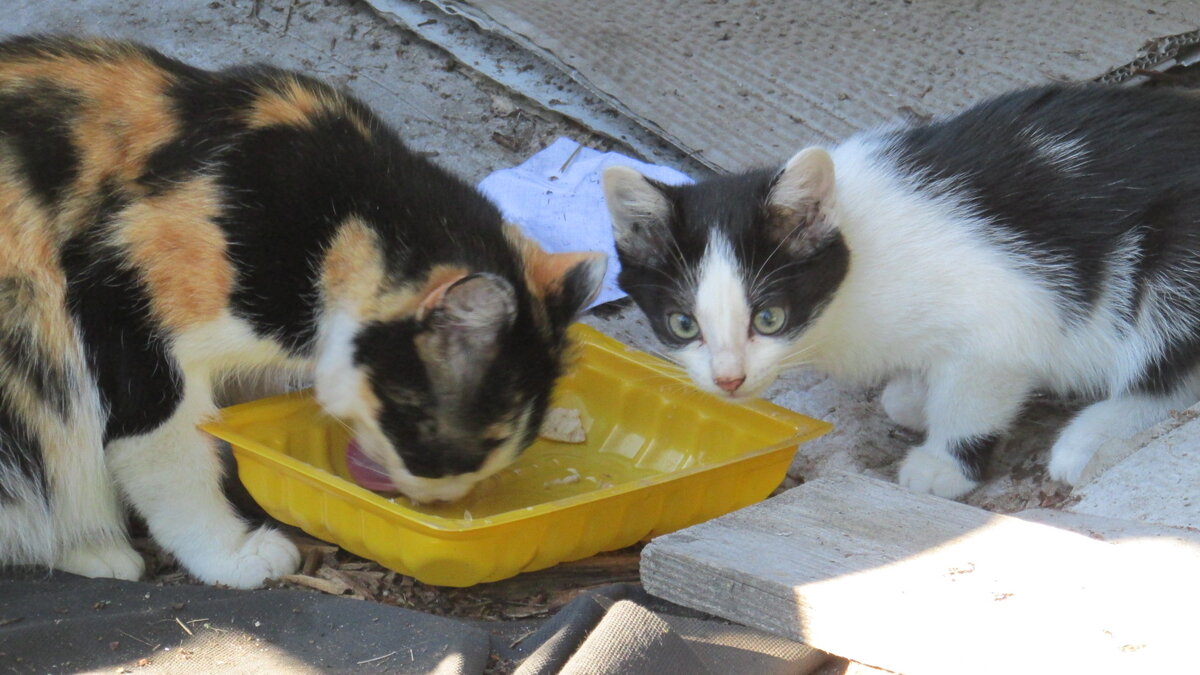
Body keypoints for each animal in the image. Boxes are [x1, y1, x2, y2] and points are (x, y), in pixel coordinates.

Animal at [0, 35, 604, 583]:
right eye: (438, 447)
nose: (442, 500)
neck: (339, 215)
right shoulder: (125, 302)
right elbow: (169, 457)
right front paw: (230, 554)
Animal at [604, 82, 1200, 494]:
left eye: (768, 317)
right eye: (683, 324)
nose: (729, 380)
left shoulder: (1008, 313)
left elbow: (974, 388)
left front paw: (944, 463)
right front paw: (913, 394)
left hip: (1177, 257)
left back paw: (1090, 438)